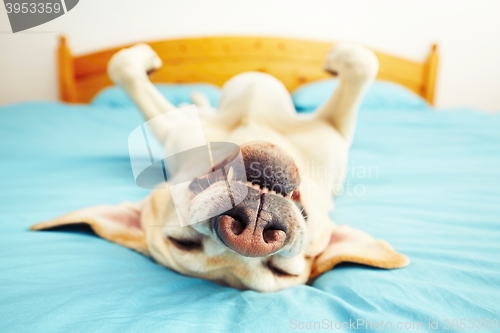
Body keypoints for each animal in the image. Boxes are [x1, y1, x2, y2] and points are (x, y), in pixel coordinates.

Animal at [31, 41, 408, 290]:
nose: (252, 233)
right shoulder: (175, 128)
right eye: (182, 243)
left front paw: (338, 57)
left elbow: (363, 64)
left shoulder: (334, 132)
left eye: (282, 272)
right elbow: (121, 68)